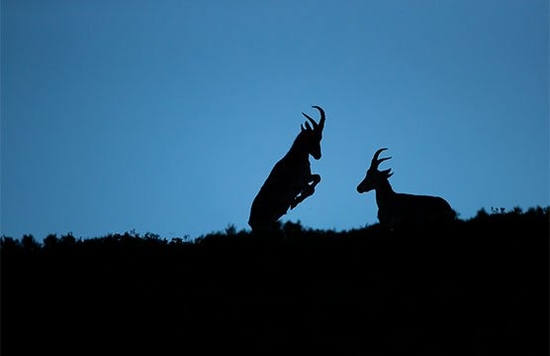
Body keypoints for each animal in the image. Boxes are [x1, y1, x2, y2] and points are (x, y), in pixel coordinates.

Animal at [250, 105, 328, 234]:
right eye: (310, 137)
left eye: (320, 138)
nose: (318, 155)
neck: (295, 159)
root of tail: (250, 221)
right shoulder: (296, 182)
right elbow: (309, 188)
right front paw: (296, 200)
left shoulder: (307, 177)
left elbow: (317, 178)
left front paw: (296, 201)